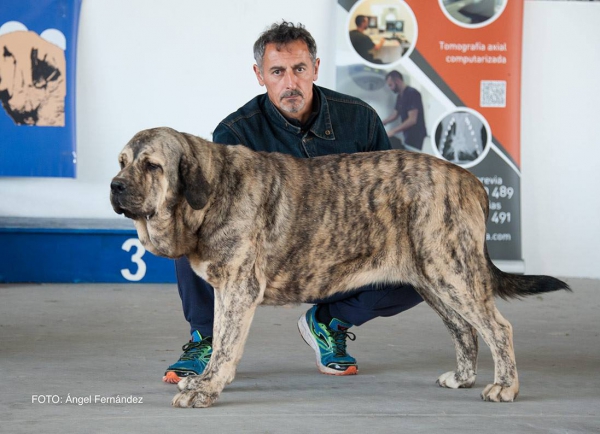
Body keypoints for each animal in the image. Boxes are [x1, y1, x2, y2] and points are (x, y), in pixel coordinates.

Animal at [110, 127, 568, 408]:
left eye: (151, 165)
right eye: (121, 161)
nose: (114, 186)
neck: (213, 191)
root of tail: (472, 181)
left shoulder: (239, 289)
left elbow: (225, 346)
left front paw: (206, 390)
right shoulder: (225, 290)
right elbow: (219, 338)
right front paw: (203, 378)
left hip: (453, 274)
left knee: (498, 329)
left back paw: (505, 386)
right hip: (432, 281)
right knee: (465, 330)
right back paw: (462, 378)